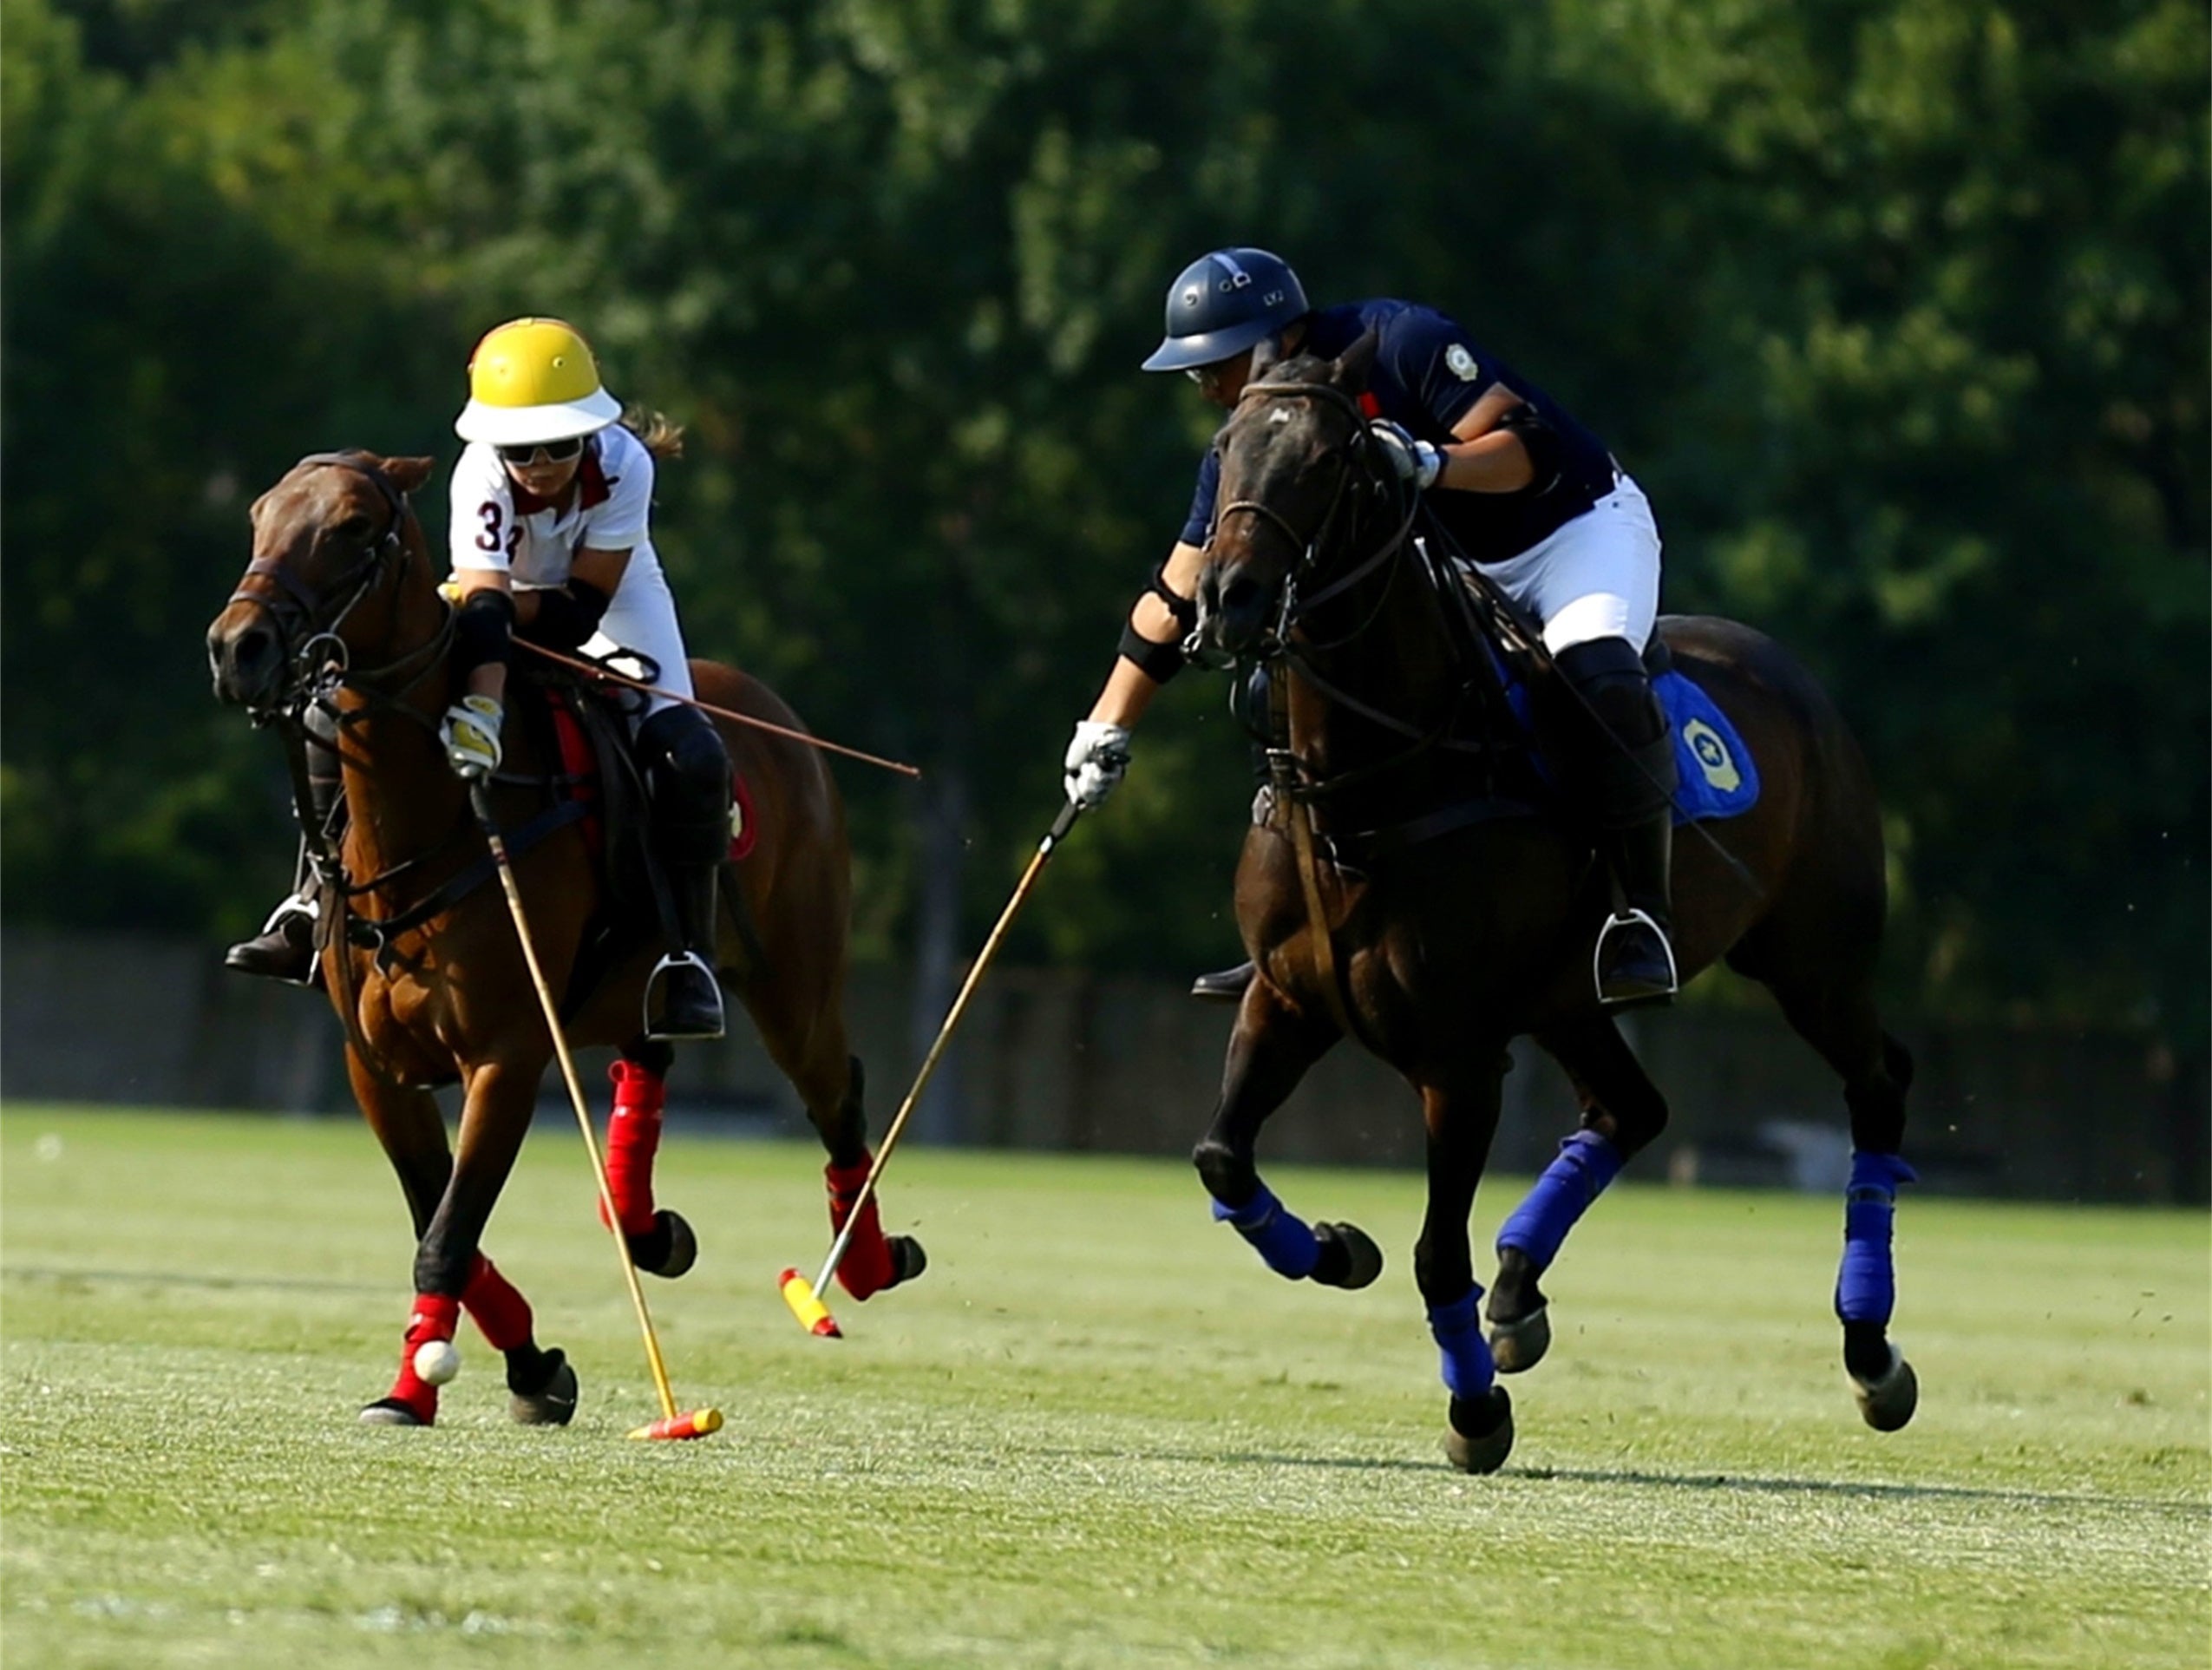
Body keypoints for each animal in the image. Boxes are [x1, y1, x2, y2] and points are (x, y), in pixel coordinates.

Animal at [211, 451, 919, 1433]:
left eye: (354, 525)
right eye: (260, 514)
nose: (237, 647)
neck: (431, 818)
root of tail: (775, 714)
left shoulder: (505, 1056)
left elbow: (448, 1233)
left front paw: (427, 1386)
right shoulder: (375, 1069)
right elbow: (441, 1221)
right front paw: (519, 1367)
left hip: (795, 982)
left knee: (835, 1090)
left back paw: (863, 1263)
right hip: (644, 983)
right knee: (648, 1059)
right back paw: (644, 1223)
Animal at [1185, 336, 1911, 1477]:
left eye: (1331, 461)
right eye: (1225, 447)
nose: (1230, 596)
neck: (1374, 779)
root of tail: (1789, 671)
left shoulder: (1460, 1053)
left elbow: (1437, 1254)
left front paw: (1475, 1411)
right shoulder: (1287, 999)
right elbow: (1224, 1155)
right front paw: (1340, 1250)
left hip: (1813, 959)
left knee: (1878, 1082)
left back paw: (1872, 1351)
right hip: (1570, 998)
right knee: (1632, 1108)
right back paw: (1520, 1289)